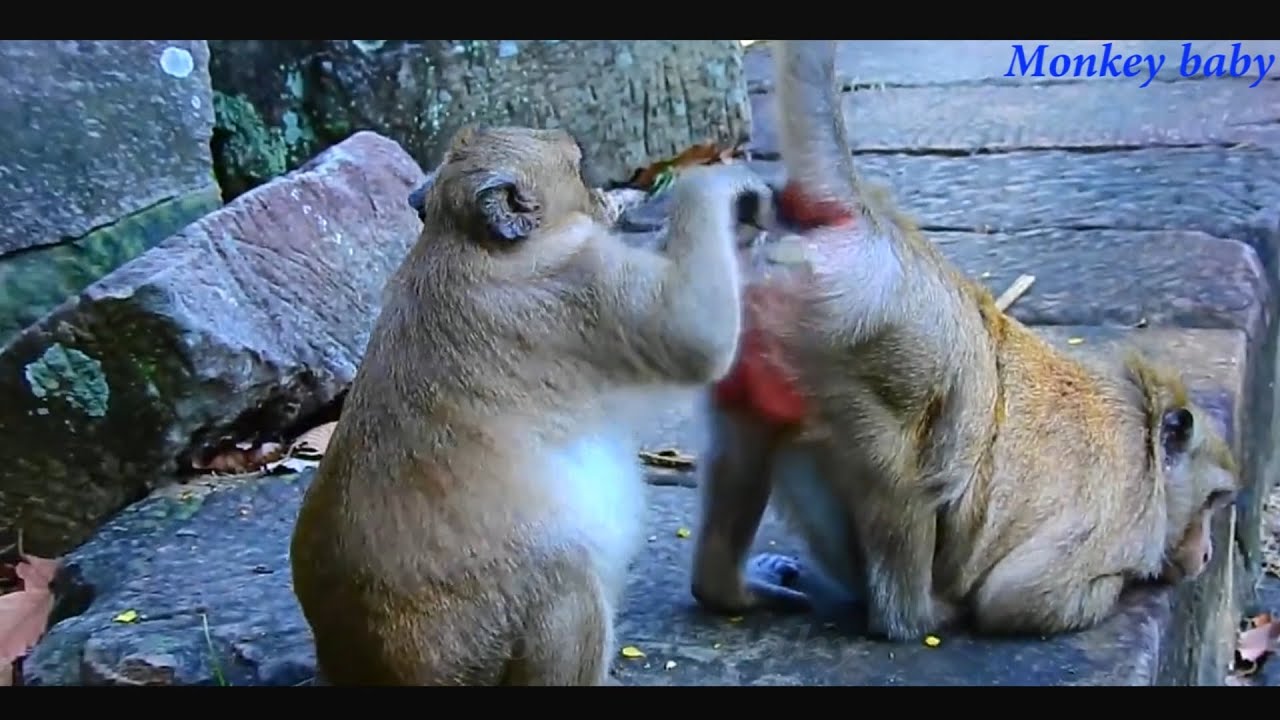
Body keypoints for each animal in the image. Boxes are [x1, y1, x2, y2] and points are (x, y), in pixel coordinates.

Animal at [290, 124, 777, 685]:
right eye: (579, 168)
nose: (603, 197)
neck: (460, 240)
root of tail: (363, 665)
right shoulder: (579, 282)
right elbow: (695, 332)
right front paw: (721, 184)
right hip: (480, 642)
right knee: (568, 578)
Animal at [690, 40, 1241, 641]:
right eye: (1214, 501)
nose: (1207, 553)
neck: (1146, 435)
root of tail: (870, 220)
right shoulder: (1126, 519)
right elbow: (1020, 597)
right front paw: (1127, 587)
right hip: (871, 344)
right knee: (910, 460)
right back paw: (915, 615)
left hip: (751, 338)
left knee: (748, 437)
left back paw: (728, 589)